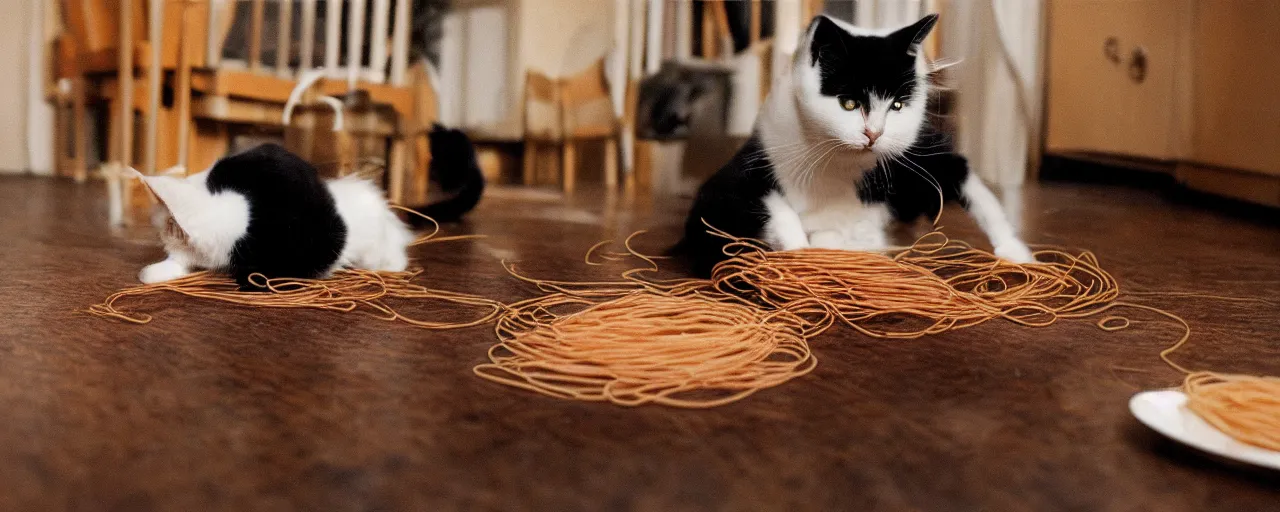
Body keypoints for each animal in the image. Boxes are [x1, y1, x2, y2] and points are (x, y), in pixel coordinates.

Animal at [675, 14, 1034, 276]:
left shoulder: (923, 155)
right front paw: (801, 251)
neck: (839, 162)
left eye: (898, 106)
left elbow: (976, 189)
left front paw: (1018, 253)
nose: (873, 133)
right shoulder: (745, 168)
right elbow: (768, 206)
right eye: (849, 103)